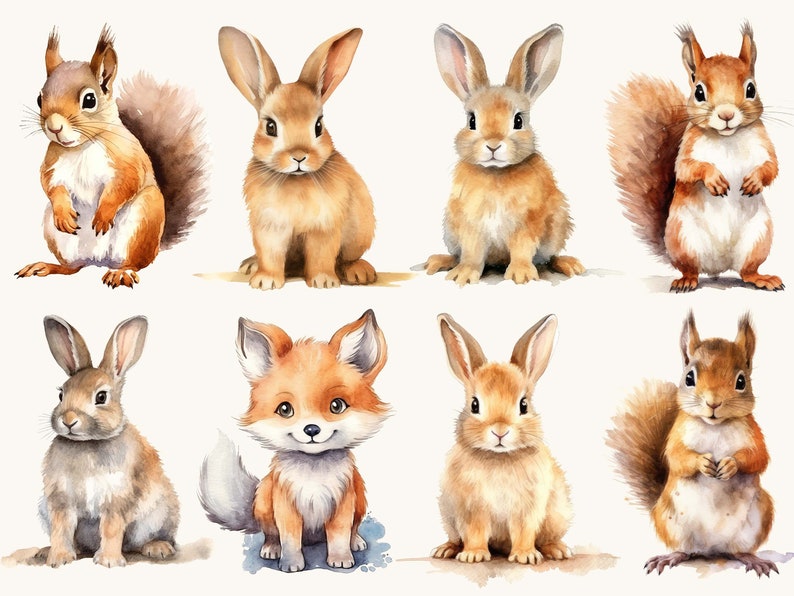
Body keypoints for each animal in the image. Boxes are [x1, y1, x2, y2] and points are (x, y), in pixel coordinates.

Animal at [199, 310, 390, 572]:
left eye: (337, 406)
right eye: (285, 409)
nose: (311, 429)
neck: (314, 474)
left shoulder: (343, 503)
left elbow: (340, 535)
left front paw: (341, 558)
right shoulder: (285, 506)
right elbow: (289, 539)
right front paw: (290, 563)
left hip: (359, 498)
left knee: (353, 528)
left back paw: (357, 541)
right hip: (264, 500)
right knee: (271, 533)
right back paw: (271, 548)